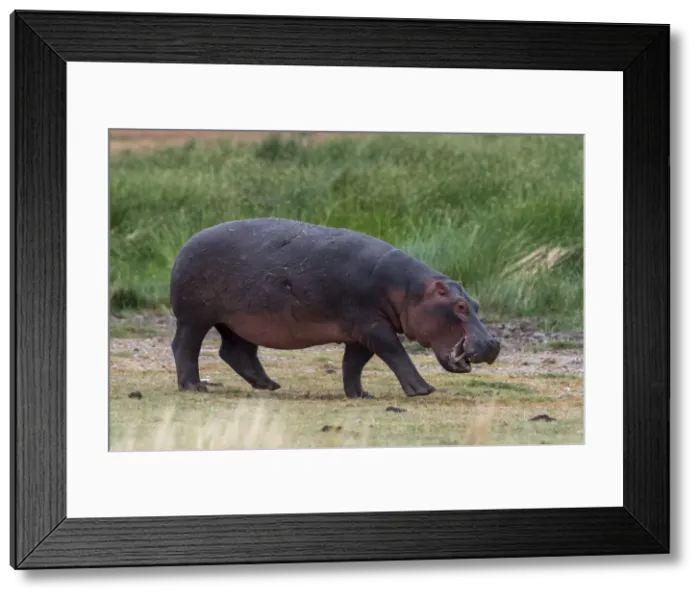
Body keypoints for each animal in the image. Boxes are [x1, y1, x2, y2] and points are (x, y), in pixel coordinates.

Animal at [169, 217, 500, 398]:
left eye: (476, 304)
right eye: (459, 306)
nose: (491, 344)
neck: (409, 291)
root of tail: (186, 243)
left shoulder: (361, 332)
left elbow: (353, 364)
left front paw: (361, 395)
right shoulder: (373, 326)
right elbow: (395, 353)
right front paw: (423, 390)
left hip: (237, 321)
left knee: (235, 351)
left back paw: (270, 385)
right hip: (196, 317)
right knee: (185, 346)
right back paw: (194, 387)